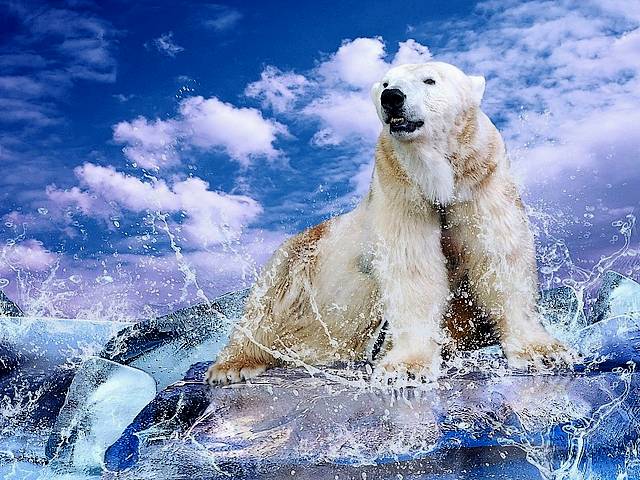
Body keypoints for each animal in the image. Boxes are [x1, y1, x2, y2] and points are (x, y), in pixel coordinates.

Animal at [205, 61, 575, 386]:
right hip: (296, 259)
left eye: (430, 80)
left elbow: (499, 255)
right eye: (385, 82)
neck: (436, 180)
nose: (392, 97)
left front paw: (543, 352)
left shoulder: (481, 178)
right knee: (264, 306)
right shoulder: (400, 189)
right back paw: (233, 366)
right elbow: (411, 266)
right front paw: (406, 368)